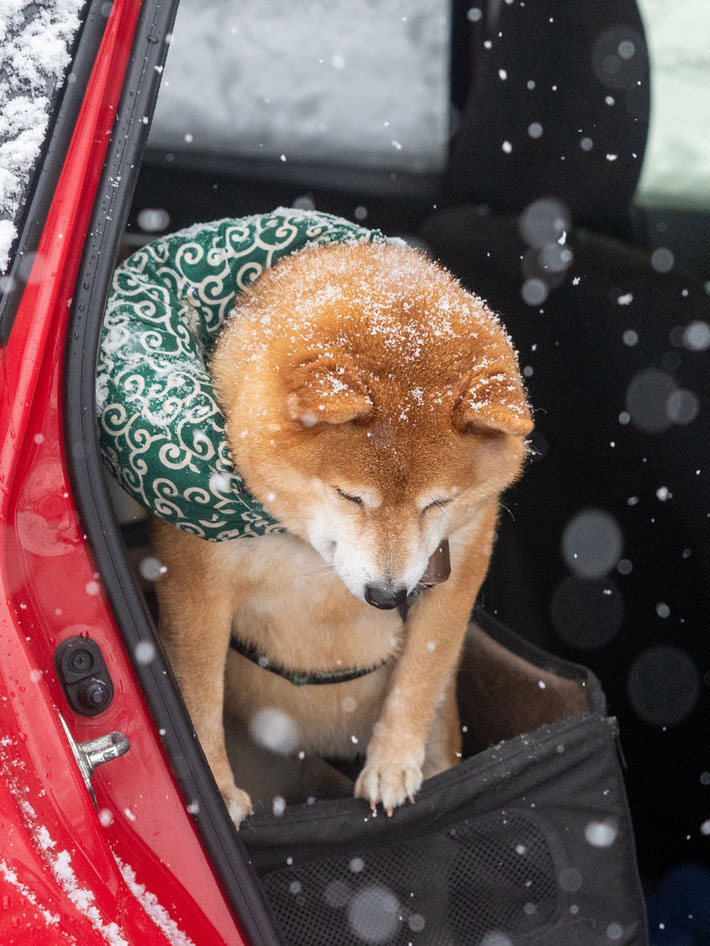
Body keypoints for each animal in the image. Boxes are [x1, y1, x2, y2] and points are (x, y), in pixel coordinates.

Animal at [156, 240, 536, 824]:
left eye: (438, 503)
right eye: (350, 495)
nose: (387, 595)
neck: (303, 550)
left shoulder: (459, 567)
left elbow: (418, 677)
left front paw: (392, 764)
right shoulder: (195, 585)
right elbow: (198, 698)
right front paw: (216, 789)